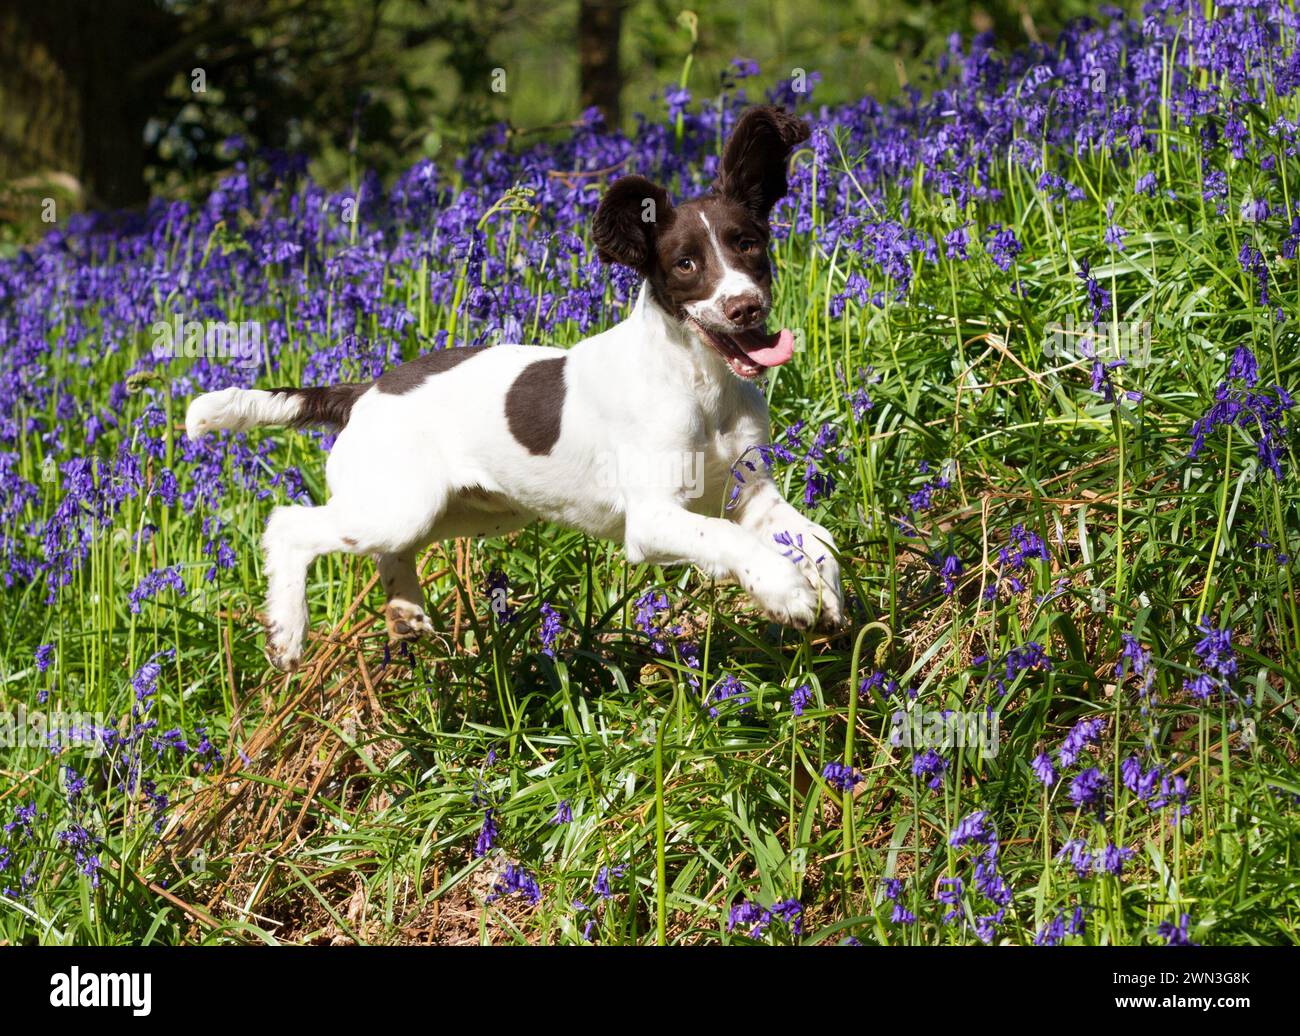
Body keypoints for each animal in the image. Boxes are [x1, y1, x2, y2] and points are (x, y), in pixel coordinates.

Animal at [188, 107, 847, 670]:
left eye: (748, 244)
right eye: (686, 264)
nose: (745, 307)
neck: (700, 383)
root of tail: (363, 392)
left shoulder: (749, 491)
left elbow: (818, 539)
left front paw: (827, 595)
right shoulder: (654, 517)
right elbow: (730, 540)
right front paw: (787, 593)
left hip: (457, 510)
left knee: (388, 551)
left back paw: (405, 613)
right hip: (397, 506)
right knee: (289, 525)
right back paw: (288, 633)